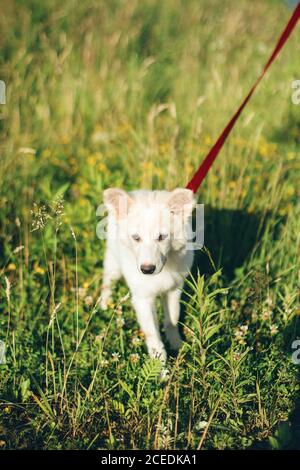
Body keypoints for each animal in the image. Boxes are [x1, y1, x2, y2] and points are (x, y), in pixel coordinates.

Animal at [99, 188, 196, 364]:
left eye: (162, 237)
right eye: (136, 237)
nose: (147, 269)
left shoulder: (174, 289)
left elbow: (172, 319)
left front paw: (176, 344)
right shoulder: (143, 299)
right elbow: (153, 336)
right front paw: (160, 367)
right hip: (113, 262)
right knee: (107, 282)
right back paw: (104, 304)